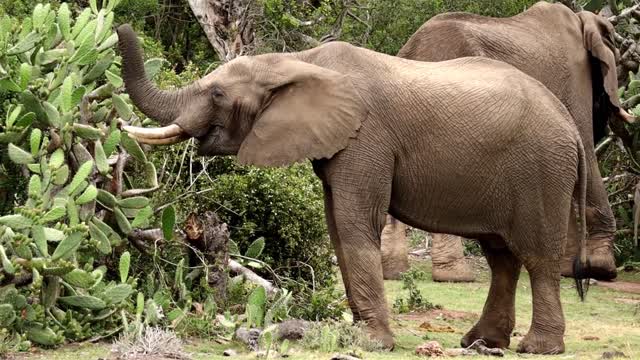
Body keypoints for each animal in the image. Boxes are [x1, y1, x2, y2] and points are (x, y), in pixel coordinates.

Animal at [116, 23, 592, 354]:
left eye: (216, 94)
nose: (120, 25)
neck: (299, 59)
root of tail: (570, 125)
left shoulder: (366, 137)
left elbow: (354, 220)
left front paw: (371, 343)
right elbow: (336, 225)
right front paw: (361, 334)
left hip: (542, 171)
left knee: (537, 256)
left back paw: (538, 348)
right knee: (501, 258)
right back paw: (480, 343)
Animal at [380, 0, 636, 284]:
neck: (582, 20)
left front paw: (569, 269)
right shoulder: (575, 78)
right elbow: (586, 150)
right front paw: (603, 268)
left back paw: (395, 272)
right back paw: (457, 276)